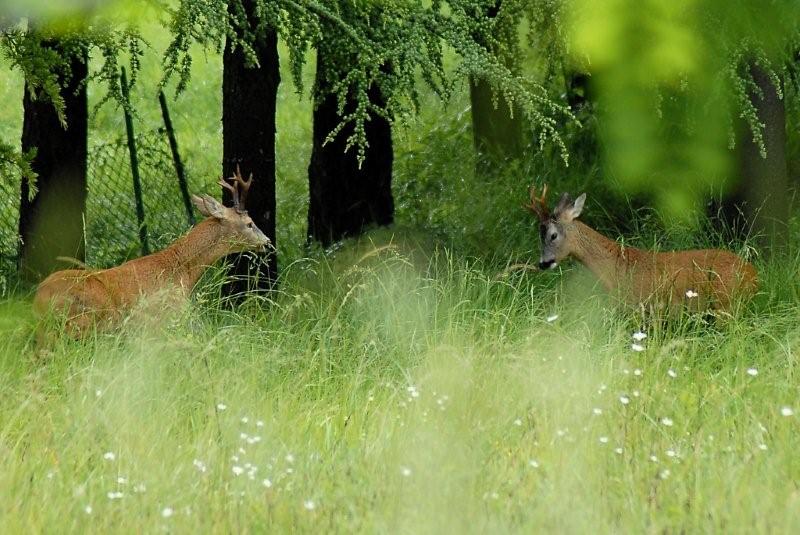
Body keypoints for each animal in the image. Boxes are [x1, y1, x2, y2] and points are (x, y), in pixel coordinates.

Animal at [33, 171, 272, 340]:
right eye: (249, 223)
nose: (268, 242)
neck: (181, 269)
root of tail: (40, 297)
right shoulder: (166, 314)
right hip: (80, 321)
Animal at [528, 185, 760, 314]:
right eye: (539, 234)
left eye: (553, 235)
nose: (543, 263)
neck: (615, 265)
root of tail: (753, 275)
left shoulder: (639, 305)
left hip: (726, 303)